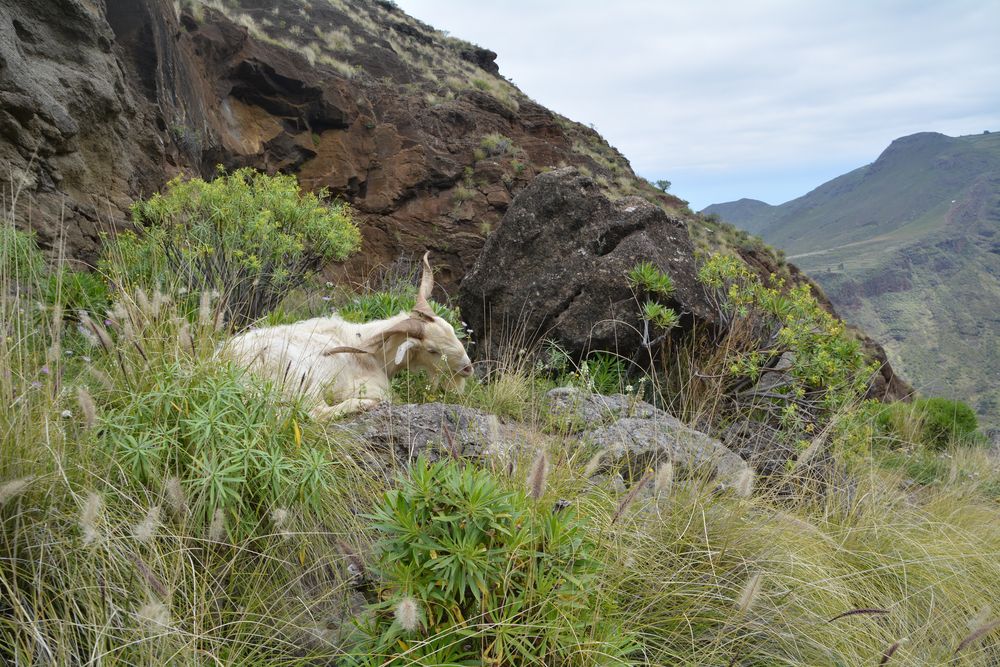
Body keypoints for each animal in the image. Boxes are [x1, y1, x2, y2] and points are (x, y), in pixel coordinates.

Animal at [225, 254, 474, 418]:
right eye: (433, 350)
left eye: (452, 330)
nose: (467, 368)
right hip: (303, 379)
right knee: (315, 412)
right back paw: (364, 405)